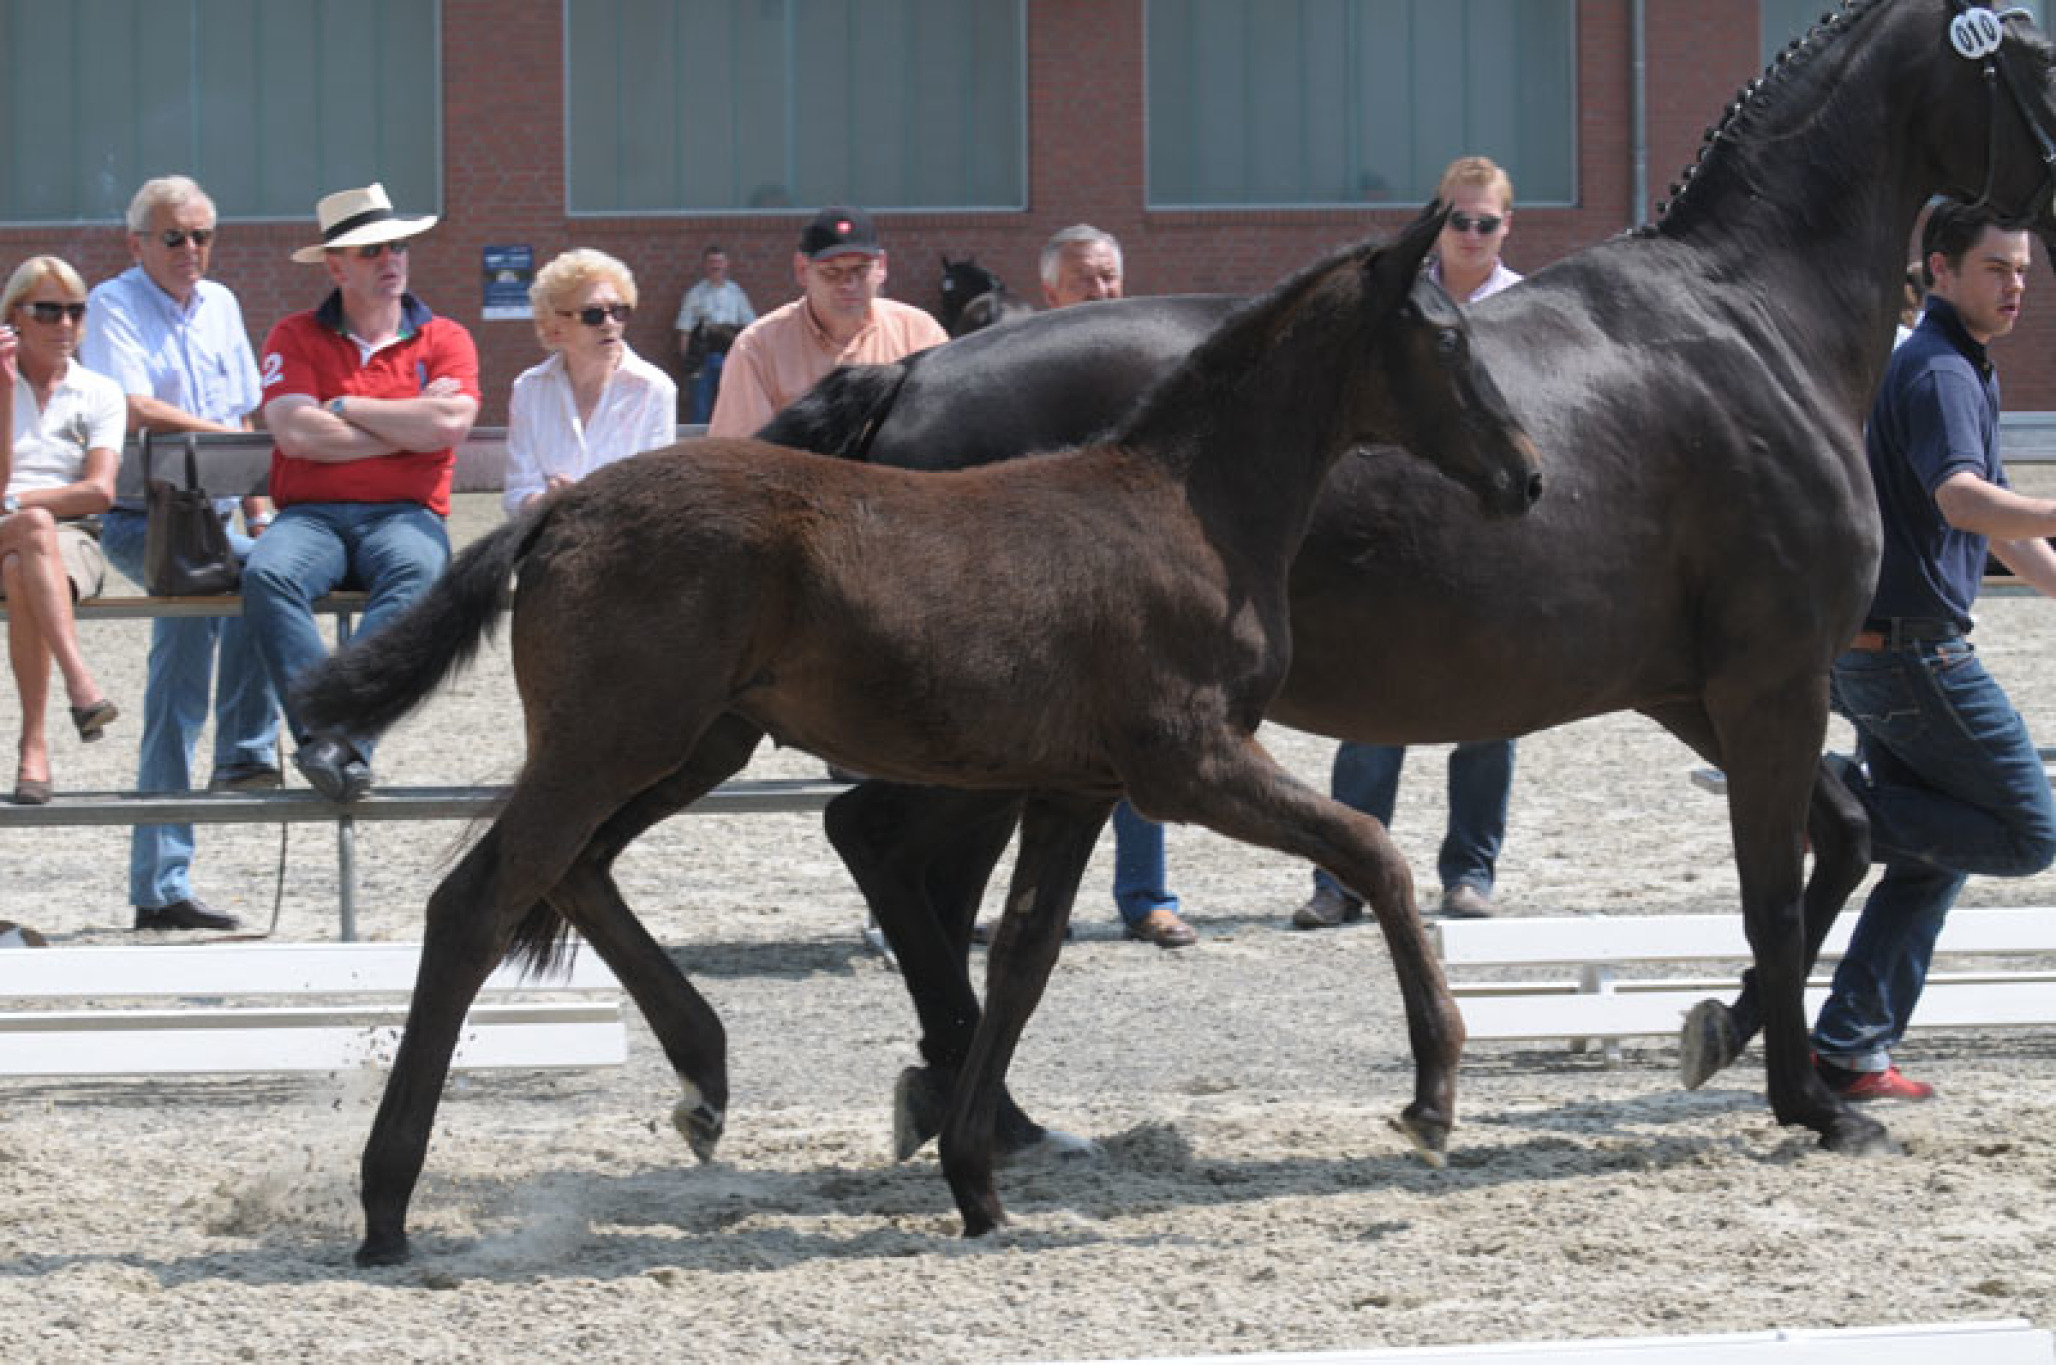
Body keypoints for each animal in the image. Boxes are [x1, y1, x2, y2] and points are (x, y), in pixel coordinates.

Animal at [296, 205, 1543, 1263]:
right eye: (1443, 334)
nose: (1524, 476)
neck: (1189, 510)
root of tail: (560, 504)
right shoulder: (1187, 764)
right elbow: (1372, 852)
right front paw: (1432, 1099)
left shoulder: (1076, 787)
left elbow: (1024, 961)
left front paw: (977, 1182)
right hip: (615, 742)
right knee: (478, 903)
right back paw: (386, 1207)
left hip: (691, 744)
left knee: (576, 871)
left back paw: (703, 1077)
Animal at [763, 0, 2056, 1167]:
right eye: (2041, 58)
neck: (1750, 320)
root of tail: (909, 375)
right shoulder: (1771, 681)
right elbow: (1781, 892)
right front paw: (1811, 1102)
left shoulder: (1698, 690)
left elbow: (1843, 838)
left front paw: (1716, 1033)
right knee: (886, 848)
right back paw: (981, 1106)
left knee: (912, 871)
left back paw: (978, 1104)